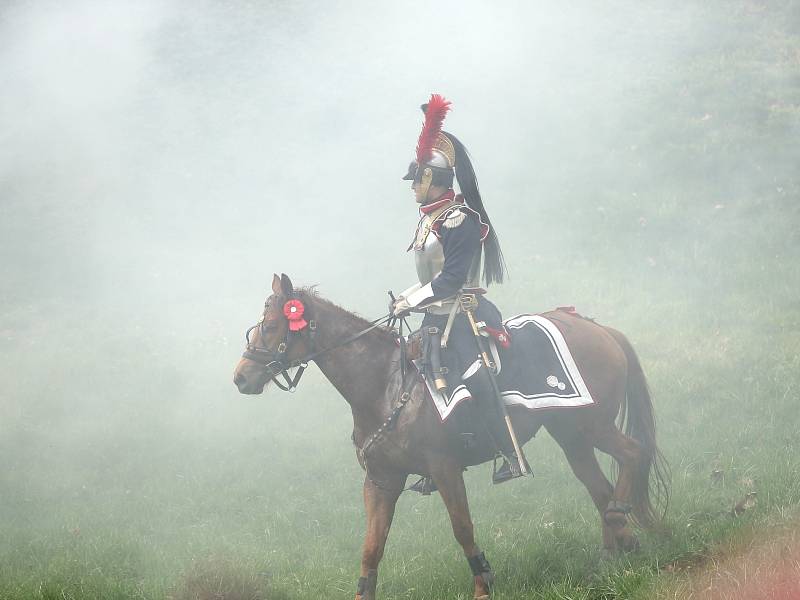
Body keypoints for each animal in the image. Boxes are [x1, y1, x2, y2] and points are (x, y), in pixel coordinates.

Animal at [231, 274, 668, 596]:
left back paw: (623, 530)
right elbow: (372, 548)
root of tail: (597, 328)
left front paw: (483, 586)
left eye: (272, 326)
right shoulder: (381, 481)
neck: (386, 385)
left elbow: (463, 530)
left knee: (632, 455)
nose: (241, 378)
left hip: (593, 426)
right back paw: (612, 553)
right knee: (598, 487)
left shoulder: (445, 470)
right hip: (572, 435)